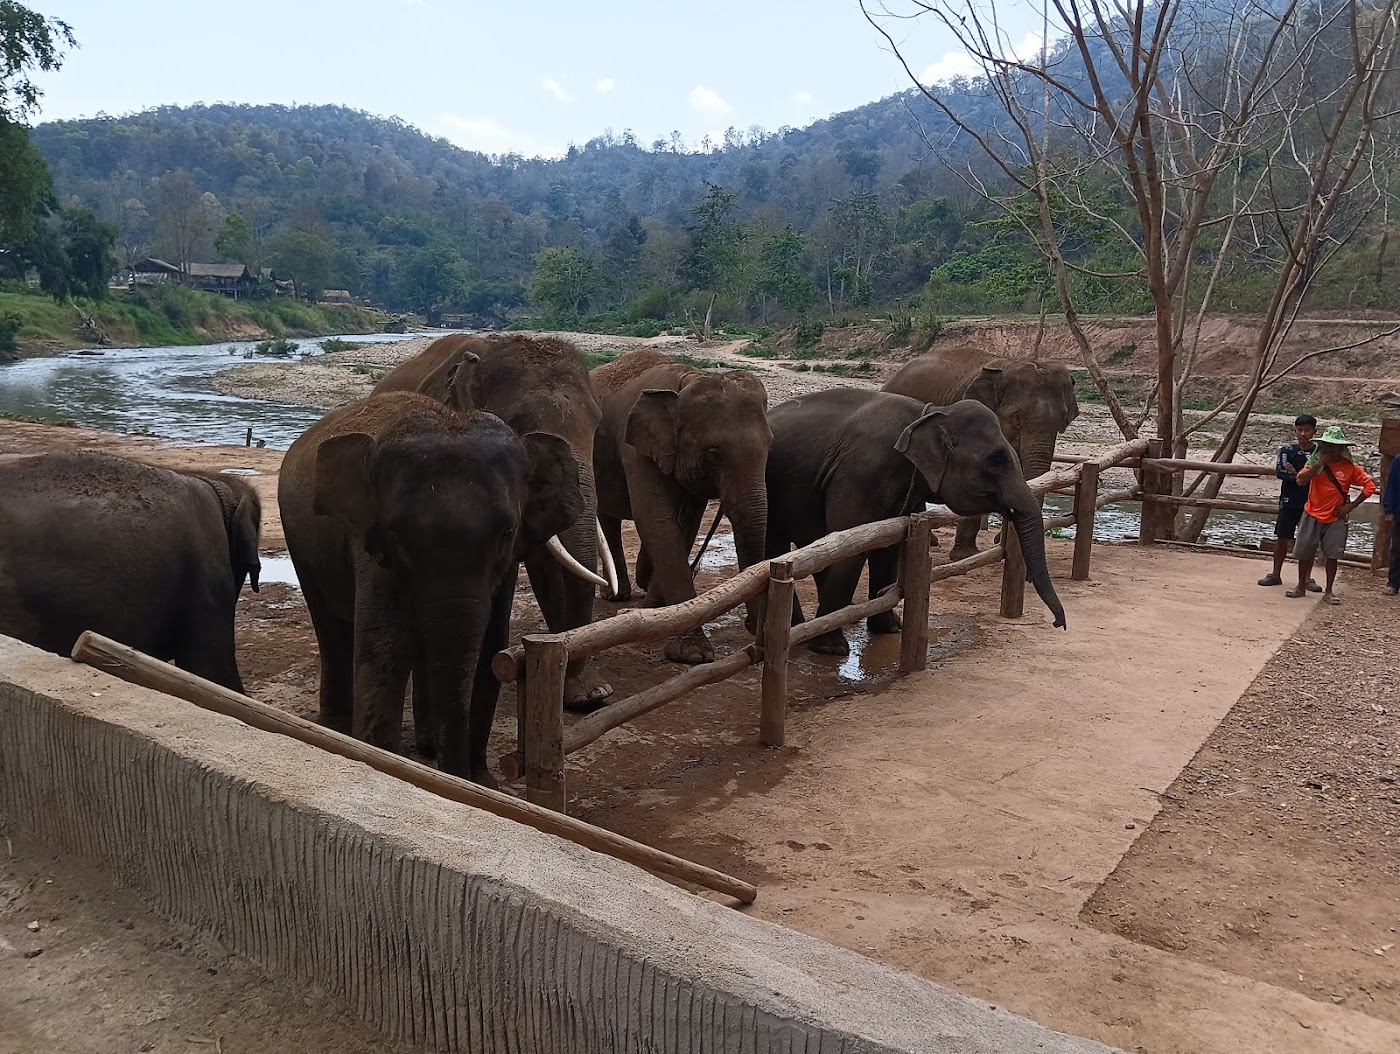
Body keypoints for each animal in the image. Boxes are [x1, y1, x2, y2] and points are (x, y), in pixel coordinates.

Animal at [278, 388, 586, 785]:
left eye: (507, 531)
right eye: (396, 532)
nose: (459, 774)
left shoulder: (505, 567)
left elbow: (490, 649)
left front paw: (481, 782)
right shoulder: (372, 546)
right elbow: (386, 649)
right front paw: (388, 766)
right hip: (300, 542)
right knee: (331, 628)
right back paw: (336, 730)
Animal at [591, 349, 772, 665]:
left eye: (770, 445)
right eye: (714, 454)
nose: (752, 626)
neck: (686, 379)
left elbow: (685, 525)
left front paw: (657, 610)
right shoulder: (636, 449)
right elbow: (656, 521)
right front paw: (693, 655)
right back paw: (615, 596)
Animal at [766, 388, 1066, 655]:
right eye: (996, 459)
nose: (1058, 625)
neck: (929, 413)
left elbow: (887, 546)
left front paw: (890, 629)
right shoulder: (861, 472)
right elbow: (849, 545)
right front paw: (831, 650)